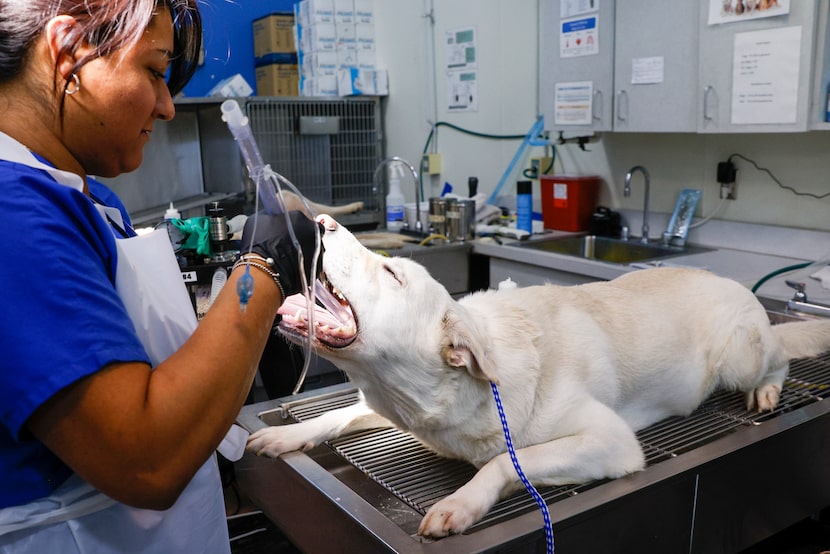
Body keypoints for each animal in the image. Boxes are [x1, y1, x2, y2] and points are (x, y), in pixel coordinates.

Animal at [249, 213, 830, 536]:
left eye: (392, 271)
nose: (321, 221)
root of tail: (742, 289)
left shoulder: (611, 441)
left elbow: (507, 461)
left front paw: (461, 503)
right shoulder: (383, 404)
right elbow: (339, 416)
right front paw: (285, 436)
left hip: (743, 355)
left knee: (778, 359)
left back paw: (768, 391)